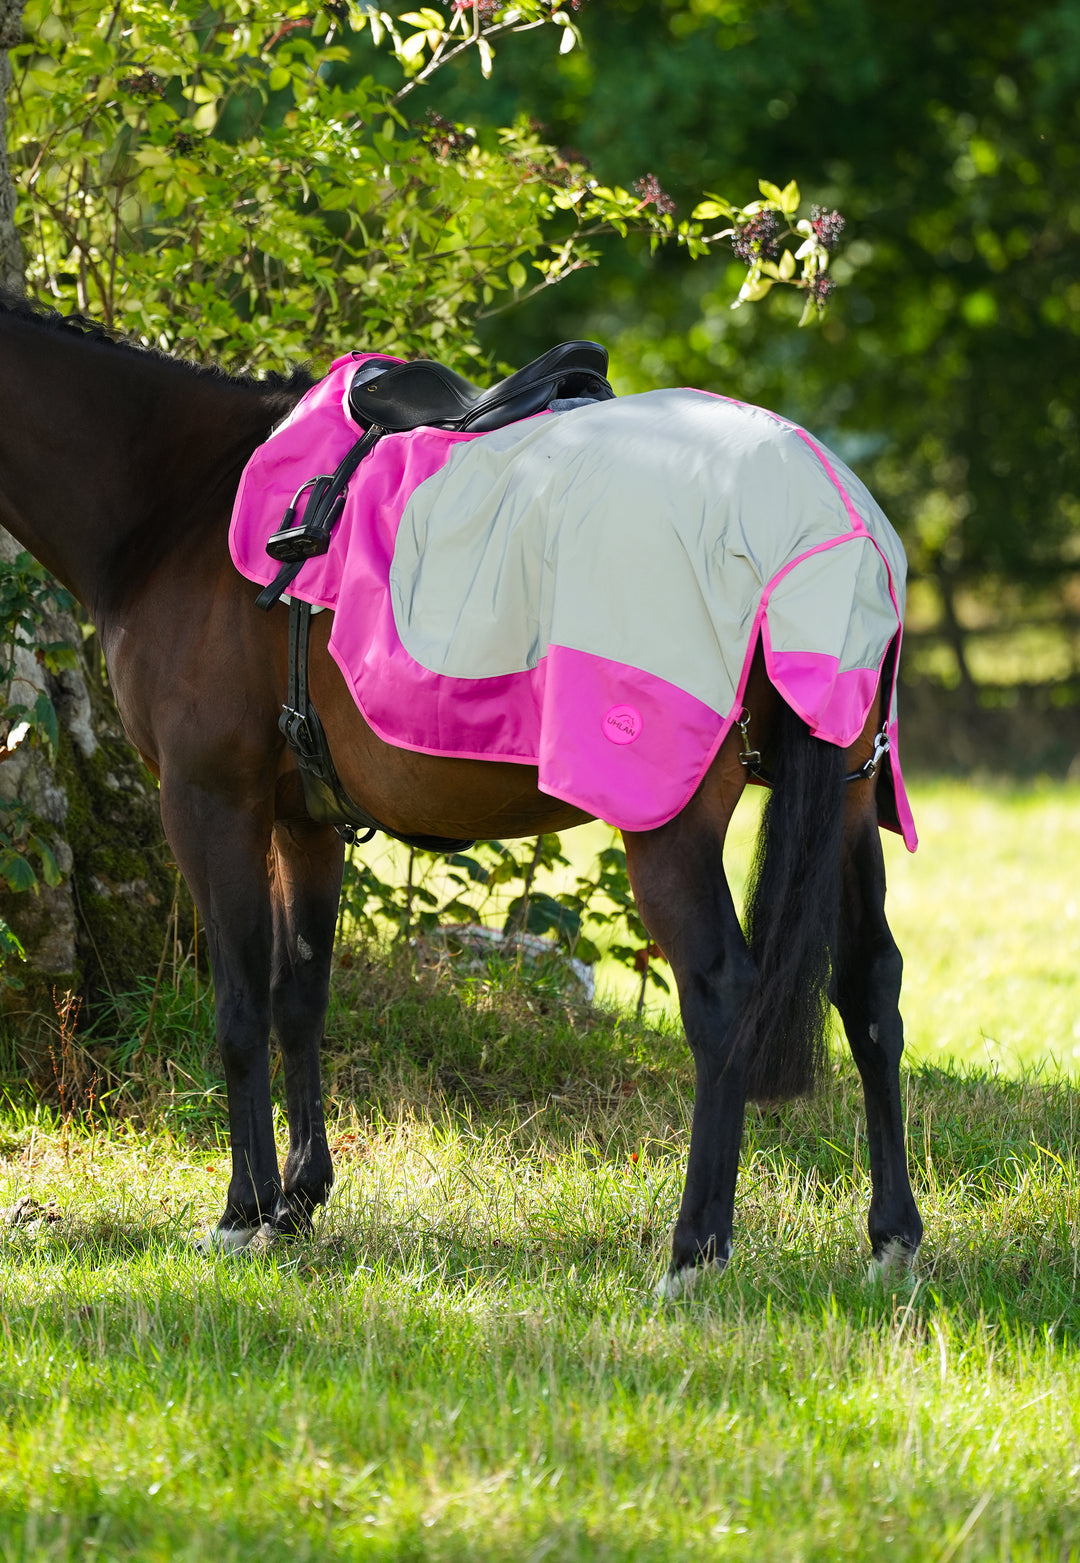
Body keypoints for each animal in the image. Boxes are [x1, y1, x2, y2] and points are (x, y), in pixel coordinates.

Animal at [0, 294, 923, 1294]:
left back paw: (694, 1249)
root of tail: (823, 512)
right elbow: (298, 997)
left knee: (722, 993)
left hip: (671, 823)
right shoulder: (304, 820)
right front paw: (299, 1200)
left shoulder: (212, 798)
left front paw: (243, 1213)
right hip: (849, 804)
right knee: (871, 988)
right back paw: (892, 1237)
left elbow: (240, 1006)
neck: (175, 503)